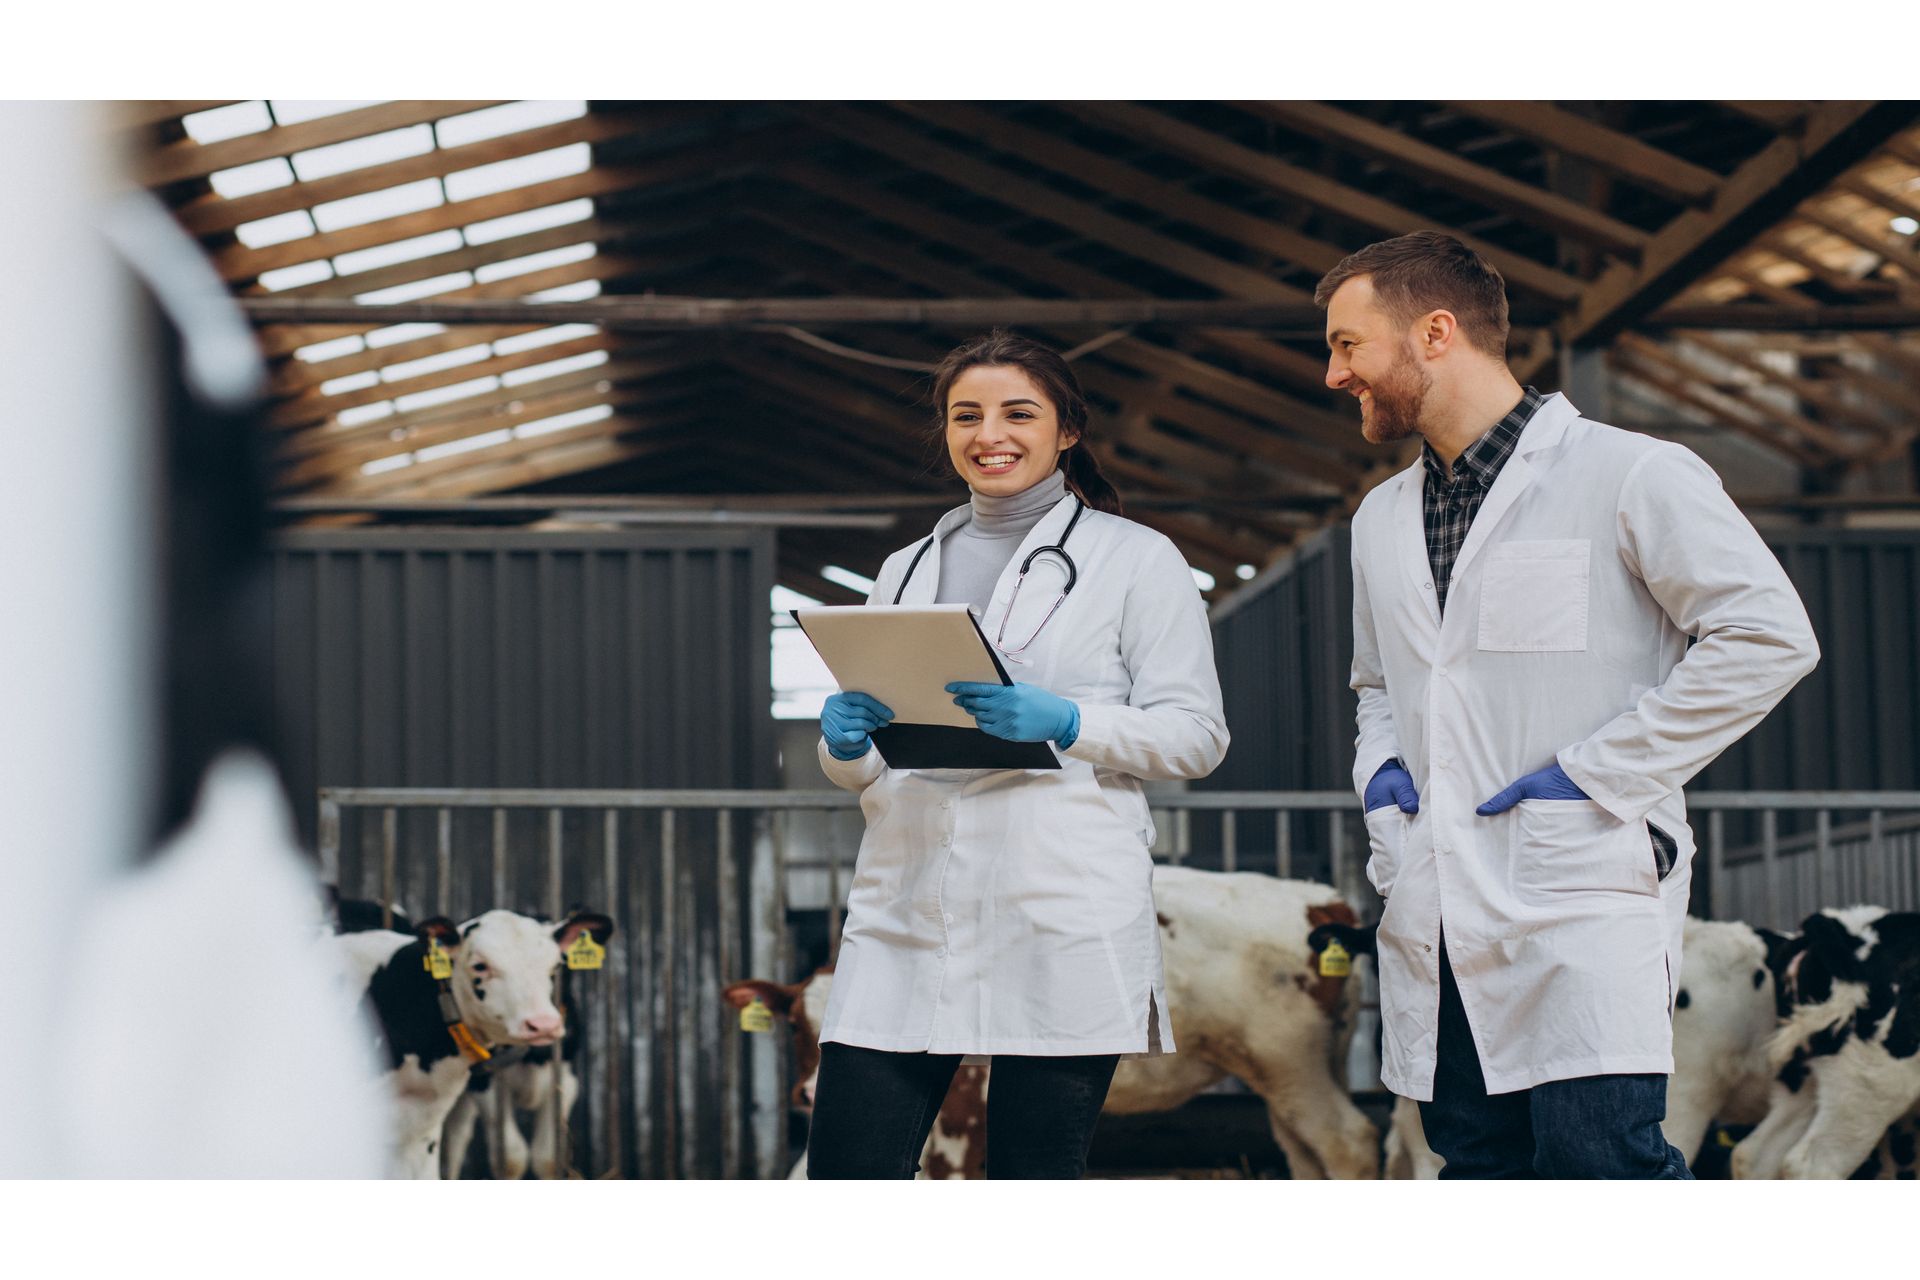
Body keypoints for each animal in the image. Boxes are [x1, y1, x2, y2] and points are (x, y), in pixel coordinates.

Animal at [721, 867, 1382, 1174]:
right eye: (795, 1025)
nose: (809, 1092)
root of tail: (1320, 900)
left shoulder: (965, 1112)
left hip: (1288, 1061)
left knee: (1345, 1141)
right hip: (1293, 1070)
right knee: (1305, 1153)